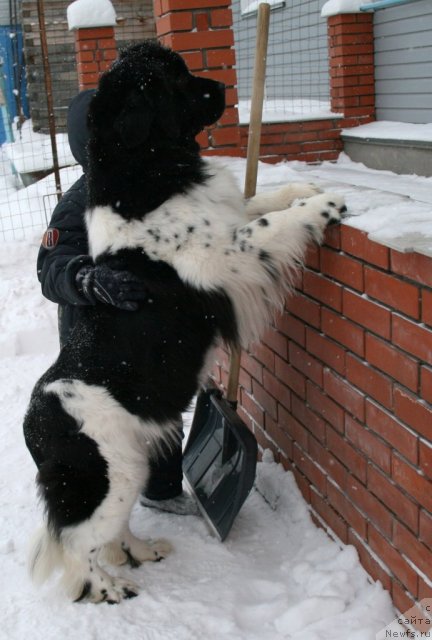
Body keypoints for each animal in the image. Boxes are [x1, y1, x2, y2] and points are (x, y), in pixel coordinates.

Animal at [24, 41, 348, 604]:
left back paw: (140, 550)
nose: (221, 86)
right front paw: (323, 205)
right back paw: (110, 587)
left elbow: (255, 202)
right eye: (174, 80)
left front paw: (303, 186)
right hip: (111, 471)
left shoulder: (227, 221)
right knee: (79, 544)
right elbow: (269, 224)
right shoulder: (228, 259)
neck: (145, 171)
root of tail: (32, 422)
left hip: (134, 457)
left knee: (113, 529)